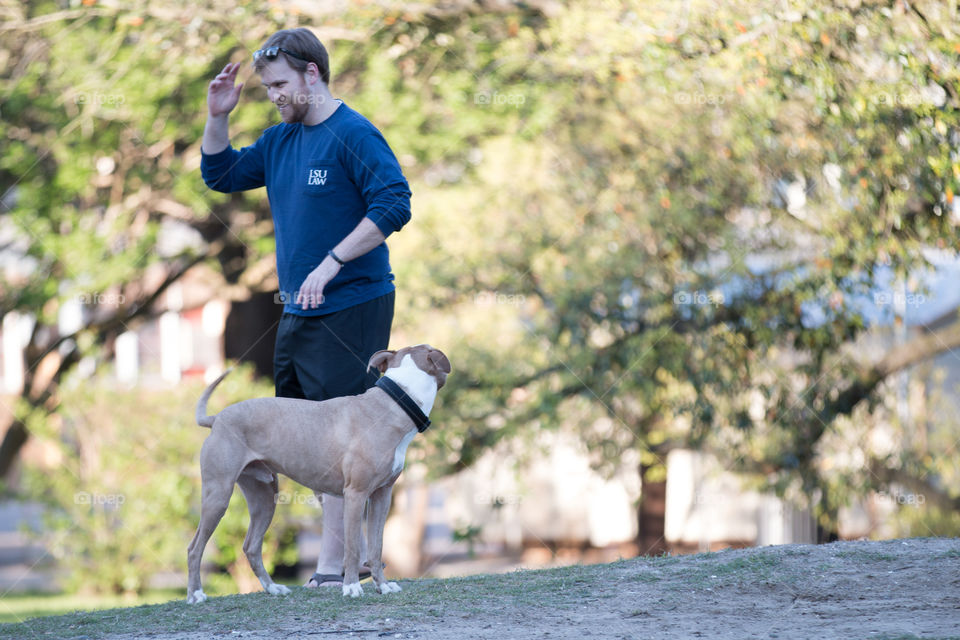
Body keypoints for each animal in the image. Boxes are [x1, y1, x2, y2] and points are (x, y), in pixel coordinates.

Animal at [187, 342, 450, 604]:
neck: (396, 401)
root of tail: (217, 418)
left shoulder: (381, 497)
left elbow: (376, 548)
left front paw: (383, 586)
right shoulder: (356, 495)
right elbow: (353, 548)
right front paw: (352, 586)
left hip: (264, 498)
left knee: (251, 546)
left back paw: (273, 588)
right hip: (218, 496)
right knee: (194, 548)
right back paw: (196, 594)